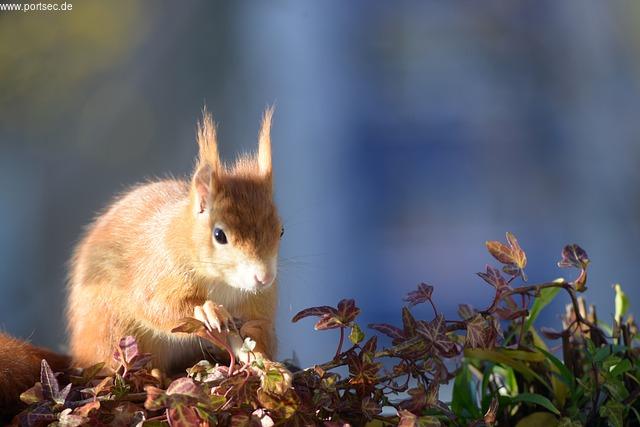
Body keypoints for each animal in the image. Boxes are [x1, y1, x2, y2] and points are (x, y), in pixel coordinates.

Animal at [0, 108, 282, 412]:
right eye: (219, 235)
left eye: (281, 230)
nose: (264, 278)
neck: (222, 283)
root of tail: (79, 354)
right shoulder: (157, 269)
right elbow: (155, 306)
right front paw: (206, 311)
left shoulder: (256, 304)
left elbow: (255, 334)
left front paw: (269, 367)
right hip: (113, 329)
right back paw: (154, 374)